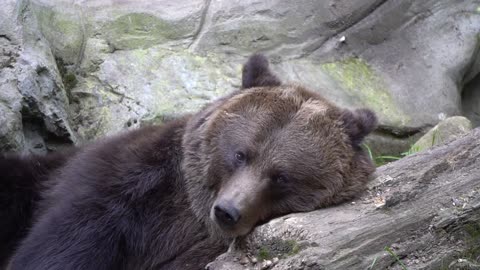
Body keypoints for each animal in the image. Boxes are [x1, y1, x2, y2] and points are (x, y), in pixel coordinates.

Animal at [0, 53, 376, 268]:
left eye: (281, 176)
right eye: (240, 154)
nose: (227, 211)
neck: (191, 211)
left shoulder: (203, 248)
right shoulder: (124, 184)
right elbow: (65, 242)